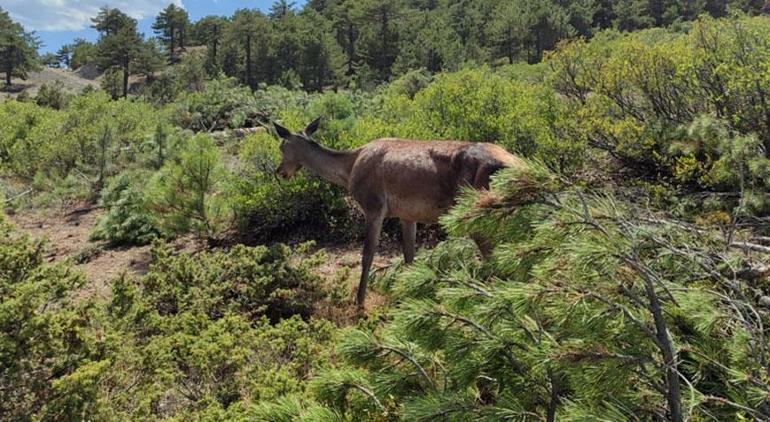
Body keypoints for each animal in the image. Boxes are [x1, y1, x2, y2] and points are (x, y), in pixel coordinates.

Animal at [272, 117, 524, 308]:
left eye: (282, 146)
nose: (280, 171)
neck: (349, 169)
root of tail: (517, 166)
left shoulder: (373, 206)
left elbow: (367, 255)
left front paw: (360, 302)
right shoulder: (408, 214)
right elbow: (409, 257)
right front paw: (409, 295)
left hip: (477, 209)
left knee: (495, 255)